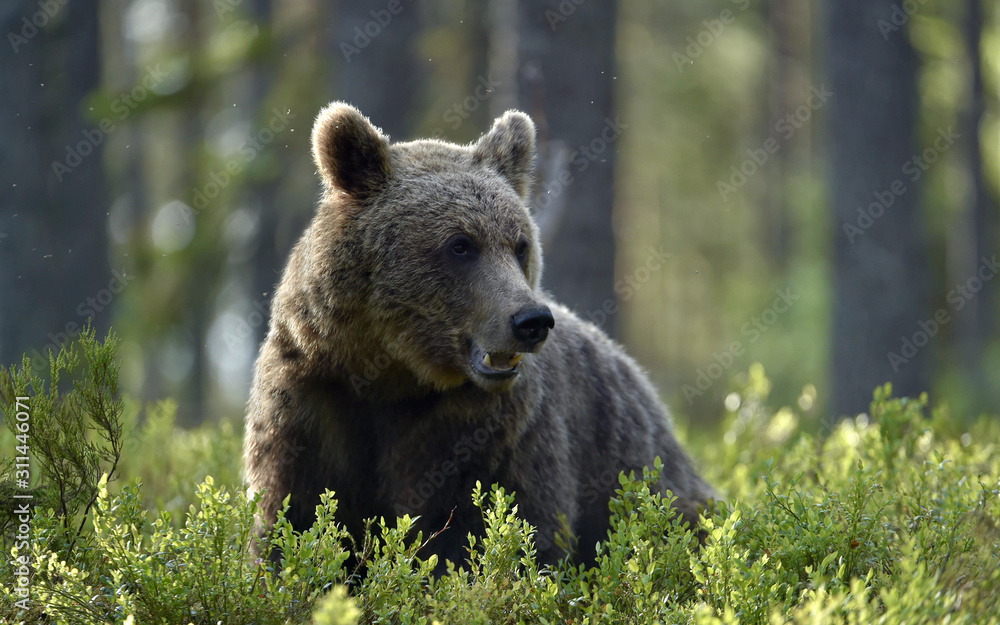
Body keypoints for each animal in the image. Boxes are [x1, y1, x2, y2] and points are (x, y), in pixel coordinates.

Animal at [242, 100, 712, 568]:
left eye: (520, 245)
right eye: (461, 244)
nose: (531, 321)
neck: (392, 374)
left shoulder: (492, 432)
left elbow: (507, 529)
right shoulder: (310, 402)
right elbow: (293, 517)